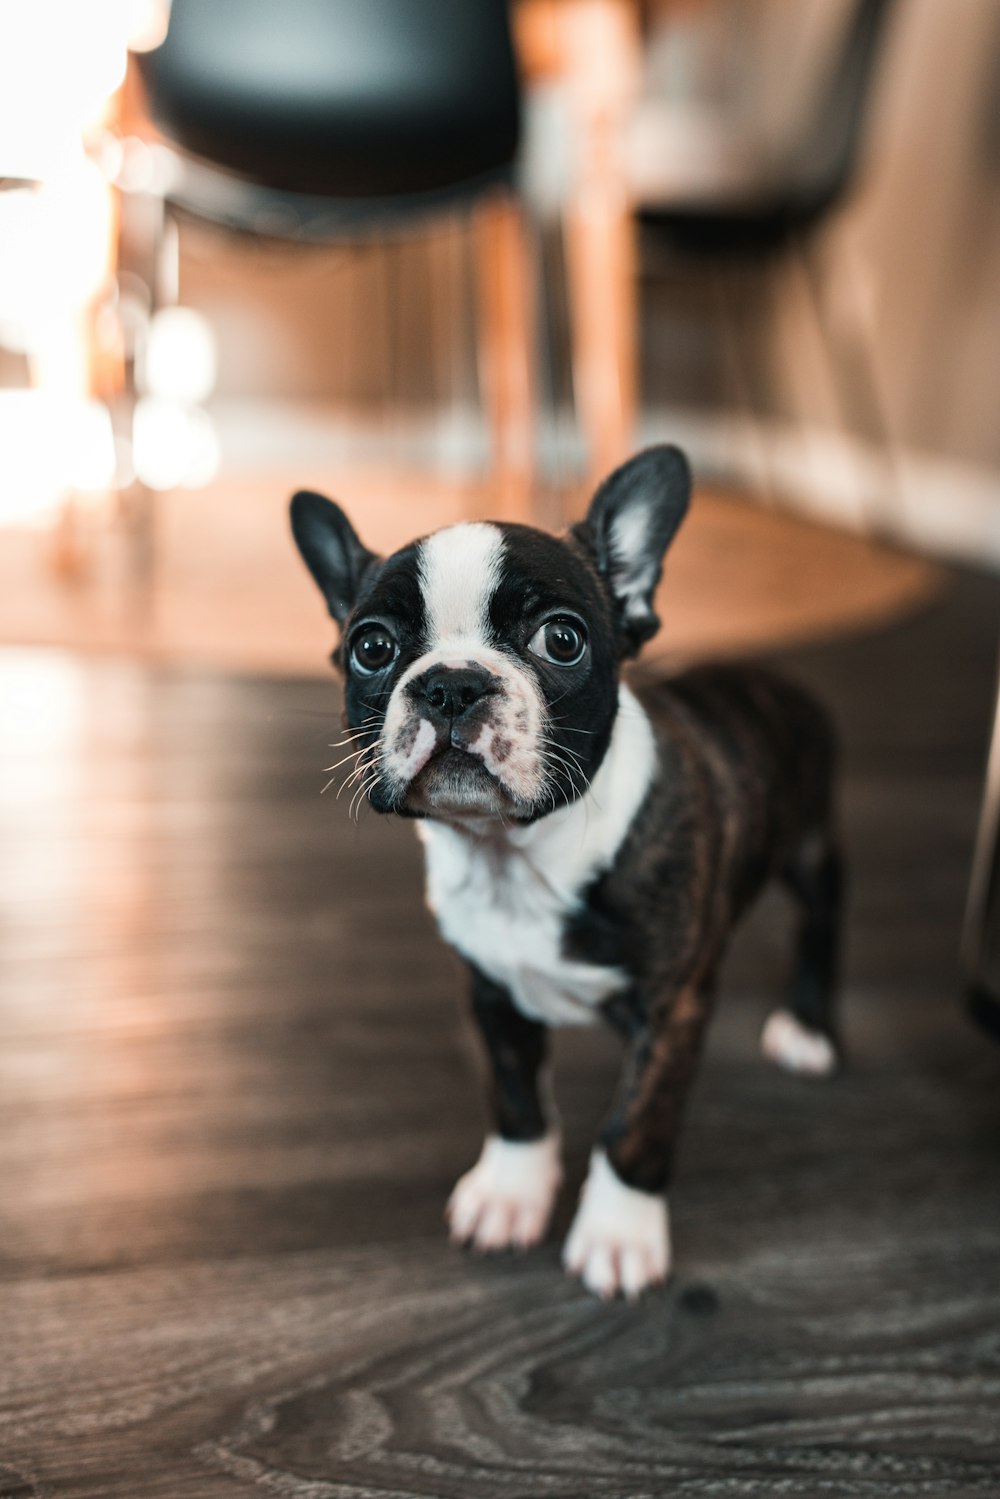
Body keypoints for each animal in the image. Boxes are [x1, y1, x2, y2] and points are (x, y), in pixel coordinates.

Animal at [290, 443, 845, 1301]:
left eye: (561, 639)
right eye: (371, 648)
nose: (452, 683)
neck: (517, 857)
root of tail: (772, 682)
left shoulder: (673, 1009)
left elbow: (636, 1125)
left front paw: (619, 1233)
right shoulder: (491, 988)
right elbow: (516, 1096)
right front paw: (510, 1193)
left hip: (811, 847)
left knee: (822, 916)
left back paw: (809, 1025)